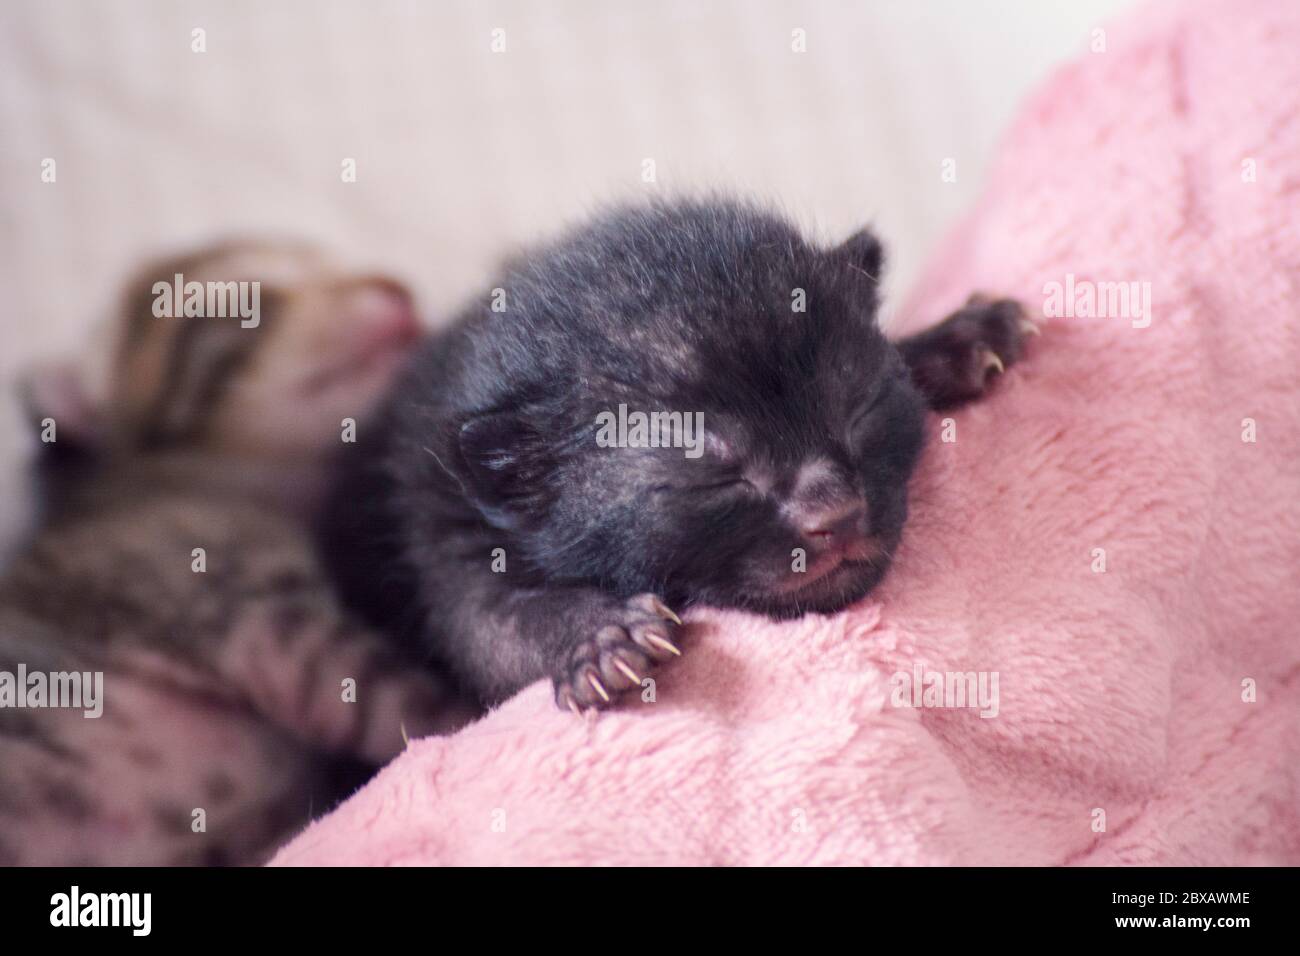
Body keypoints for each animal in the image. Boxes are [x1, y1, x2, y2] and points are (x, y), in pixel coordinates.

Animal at [319, 197, 1029, 712]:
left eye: (858, 413)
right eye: (718, 477)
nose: (837, 513)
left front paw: (954, 338)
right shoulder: (438, 531)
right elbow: (493, 628)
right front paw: (597, 637)